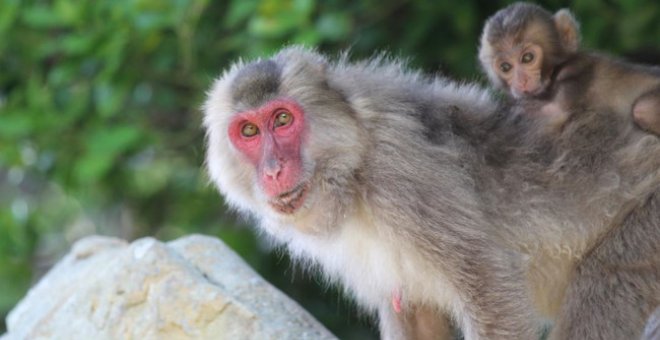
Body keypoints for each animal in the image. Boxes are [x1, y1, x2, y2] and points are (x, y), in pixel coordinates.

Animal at [202, 46, 660, 338]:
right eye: (248, 131)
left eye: (282, 120)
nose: (273, 170)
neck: (353, 170)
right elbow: (413, 311)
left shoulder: (406, 180)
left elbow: (493, 297)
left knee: (608, 278)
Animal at [480, 2, 660, 135]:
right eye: (505, 67)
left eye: (527, 58)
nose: (521, 81)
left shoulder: (575, 72)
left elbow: (557, 113)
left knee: (642, 110)